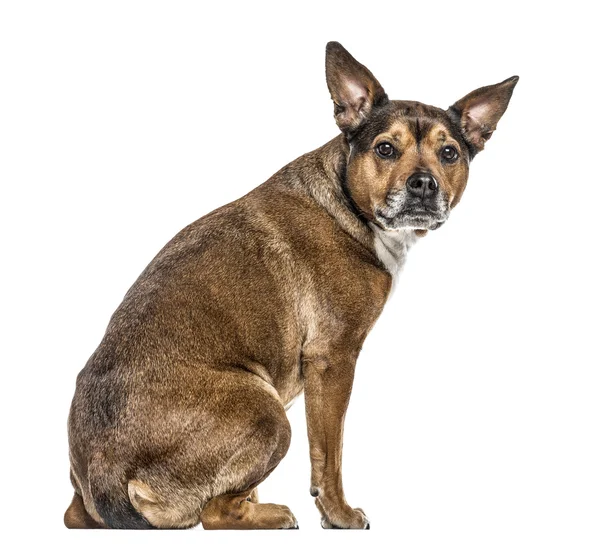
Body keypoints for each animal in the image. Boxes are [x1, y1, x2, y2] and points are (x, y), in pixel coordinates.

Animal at [64, 42, 516, 528]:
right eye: (385, 149)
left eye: (449, 154)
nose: (423, 185)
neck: (348, 205)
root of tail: (103, 474)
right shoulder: (333, 360)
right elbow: (330, 452)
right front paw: (338, 515)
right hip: (268, 413)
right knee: (214, 512)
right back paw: (271, 514)